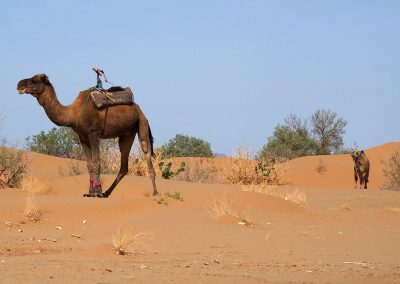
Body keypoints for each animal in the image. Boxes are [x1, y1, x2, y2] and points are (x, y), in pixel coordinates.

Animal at [17, 73, 158, 197]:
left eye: (35, 80)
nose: (19, 84)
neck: (73, 113)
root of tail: (138, 108)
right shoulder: (82, 136)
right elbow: (89, 165)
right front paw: (90, 192)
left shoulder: (93, 133)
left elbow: (96, 163)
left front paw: (97, 192)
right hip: (127, 134)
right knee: (124, 166)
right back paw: (107, 193)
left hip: (142, 123)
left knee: (146, 150)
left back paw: (155, 192)